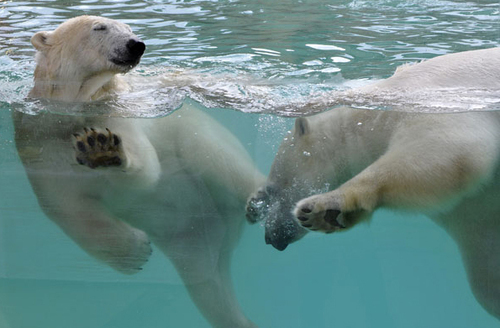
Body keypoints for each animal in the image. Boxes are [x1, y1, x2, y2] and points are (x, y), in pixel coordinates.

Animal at [14, 15, 266, 328]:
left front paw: (102, 148)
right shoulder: (38, 140)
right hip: (190, 240)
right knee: (206, 284)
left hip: (194, 132)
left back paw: (262, 198)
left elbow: (146, 170)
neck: (76, 108)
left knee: (218, 158)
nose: (136, 44)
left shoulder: (120, 111)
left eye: (129, 28)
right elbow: (68, 207)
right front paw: (135, 253)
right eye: (100, 28)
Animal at [247, 47, 500, 320]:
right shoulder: (474, 210)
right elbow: (485, 270)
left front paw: (323, 208)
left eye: (275, 188)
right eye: (269, 193)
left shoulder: (434, 102)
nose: (270, 237)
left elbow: (448, 147)